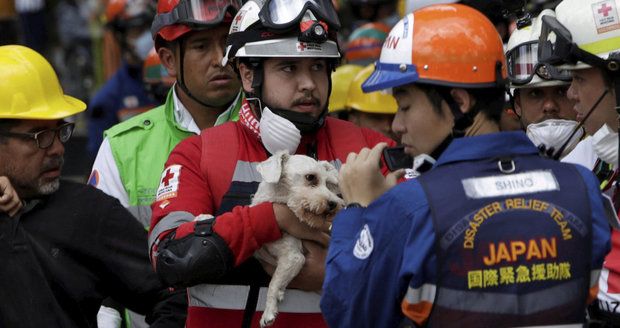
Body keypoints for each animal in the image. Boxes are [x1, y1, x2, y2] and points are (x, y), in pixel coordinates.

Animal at [253, 150, 346, 326]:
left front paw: (268, 311)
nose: (334, 204)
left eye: (327, 183)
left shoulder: (294, 257)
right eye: (310, 177)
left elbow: (273, 283)